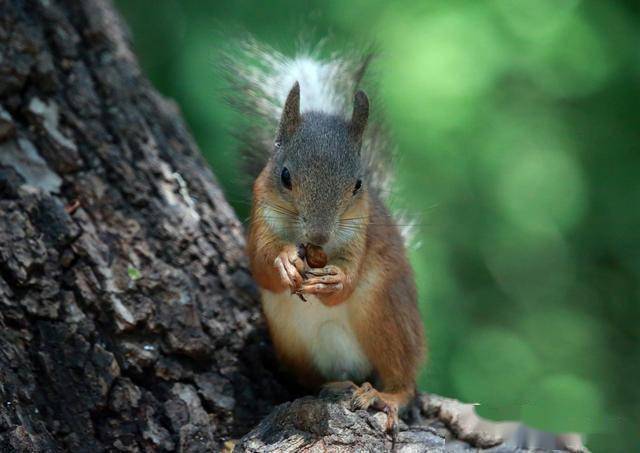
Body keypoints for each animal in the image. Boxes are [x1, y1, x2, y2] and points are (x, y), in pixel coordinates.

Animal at [225, 42, 424, 430]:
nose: (318, 234)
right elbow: (260, 265)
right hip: (291, 338)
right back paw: (333, 386)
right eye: (285, 176)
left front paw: (335, 280)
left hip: (386, 314)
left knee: (403, 379)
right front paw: (284, 260)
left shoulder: (361, 233)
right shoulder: (261, 216)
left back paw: (385, 395)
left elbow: (346, 282)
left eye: (358, 185)